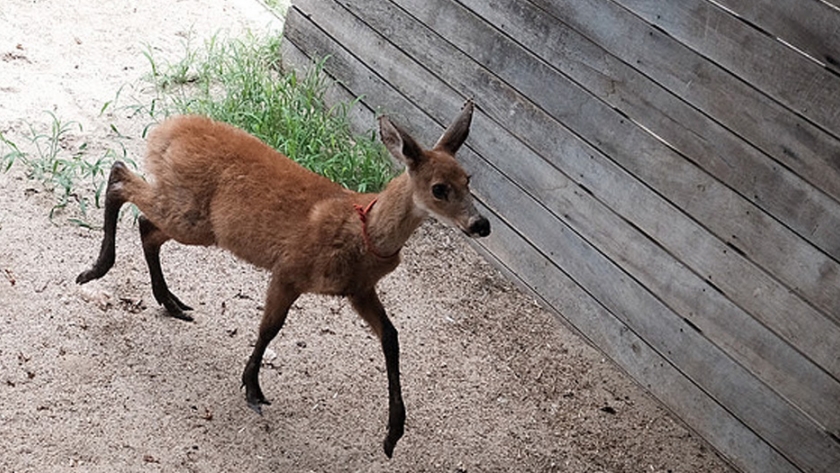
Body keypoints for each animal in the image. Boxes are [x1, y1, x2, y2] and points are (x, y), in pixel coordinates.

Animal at [75, 99, 490, 457]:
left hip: (198, 223)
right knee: (120, 178)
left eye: (468, 179)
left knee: (145, 225)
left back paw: (171, 302)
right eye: (439, 188)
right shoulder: (289, 271)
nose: (481, 224)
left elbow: (391, 336)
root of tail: (167, 130)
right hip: (189, 214)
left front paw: (393, 435)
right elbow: (269, 328)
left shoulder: (358, 289)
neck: (362, 231)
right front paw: (252, 389)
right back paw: (94, 270)